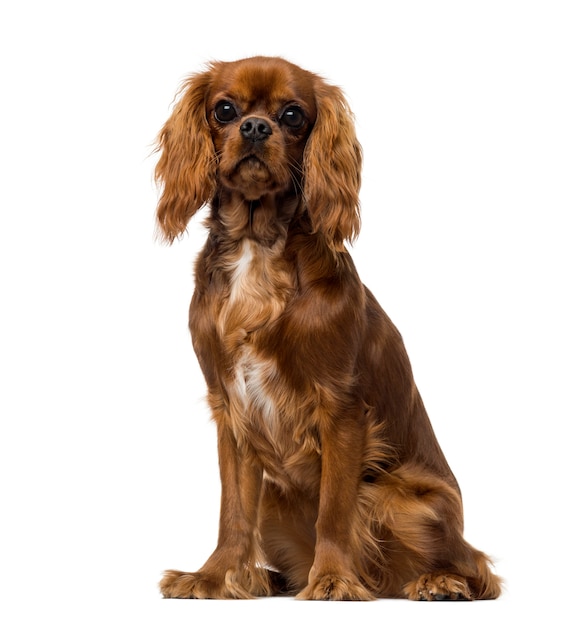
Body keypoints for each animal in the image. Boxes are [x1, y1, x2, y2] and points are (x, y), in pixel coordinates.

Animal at [153, 56, 500, 596]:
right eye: (225, 110)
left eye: (293, 115)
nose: (256, 128)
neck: (258, 245)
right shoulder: (229, 409)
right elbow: (233, 512)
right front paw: (214, 576)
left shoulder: (340, 407)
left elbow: (334, 509)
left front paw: (334, 578)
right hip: (276, 502)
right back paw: (263, 579)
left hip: (402, 499)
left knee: (476, 566)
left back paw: (436, 582)